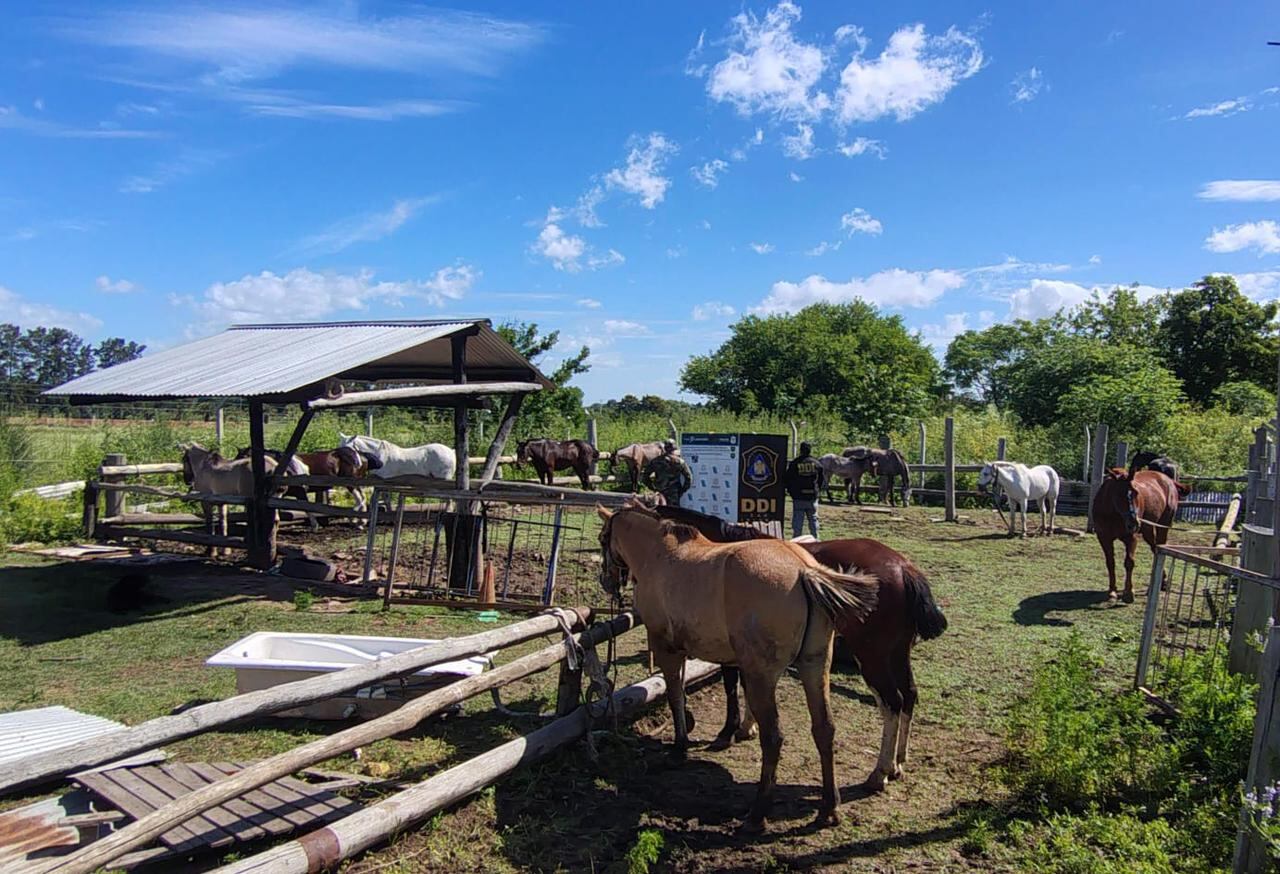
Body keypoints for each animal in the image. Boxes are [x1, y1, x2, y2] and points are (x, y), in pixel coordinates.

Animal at [597, 503, 879, 830]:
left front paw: (680, 746)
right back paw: (828, 808)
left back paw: (758, 814)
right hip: (815, 669)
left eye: (603, 538)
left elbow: (675, 695)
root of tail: (803, 570)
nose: (606, 581)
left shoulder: (666, 648)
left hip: (762, 678)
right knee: (824, 729)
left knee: (773, 738)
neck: (660, 554)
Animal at [654, 505, 947, 791]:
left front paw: (731, 731)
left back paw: (880, 772)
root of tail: (904, 568)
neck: (714, 552)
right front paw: (748, 727)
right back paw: (898, 762)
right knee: (909, 695)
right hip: (896, 653)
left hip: (871, 656)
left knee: (892, 702)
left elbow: (732, 685)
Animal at [1092, 467, 1188, 603]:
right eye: (1118, 494)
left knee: (1160, 550)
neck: (1113, 513)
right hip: (1148, 531)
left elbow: (1129, 562)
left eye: (1136, 493)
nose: (1134, 523)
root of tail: (1169, 480)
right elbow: (1110, 562)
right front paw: (1112, 591)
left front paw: (1128, 593)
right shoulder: (1104, 538)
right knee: (1155, 549)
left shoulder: (1132, 538)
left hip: (1162, 527)